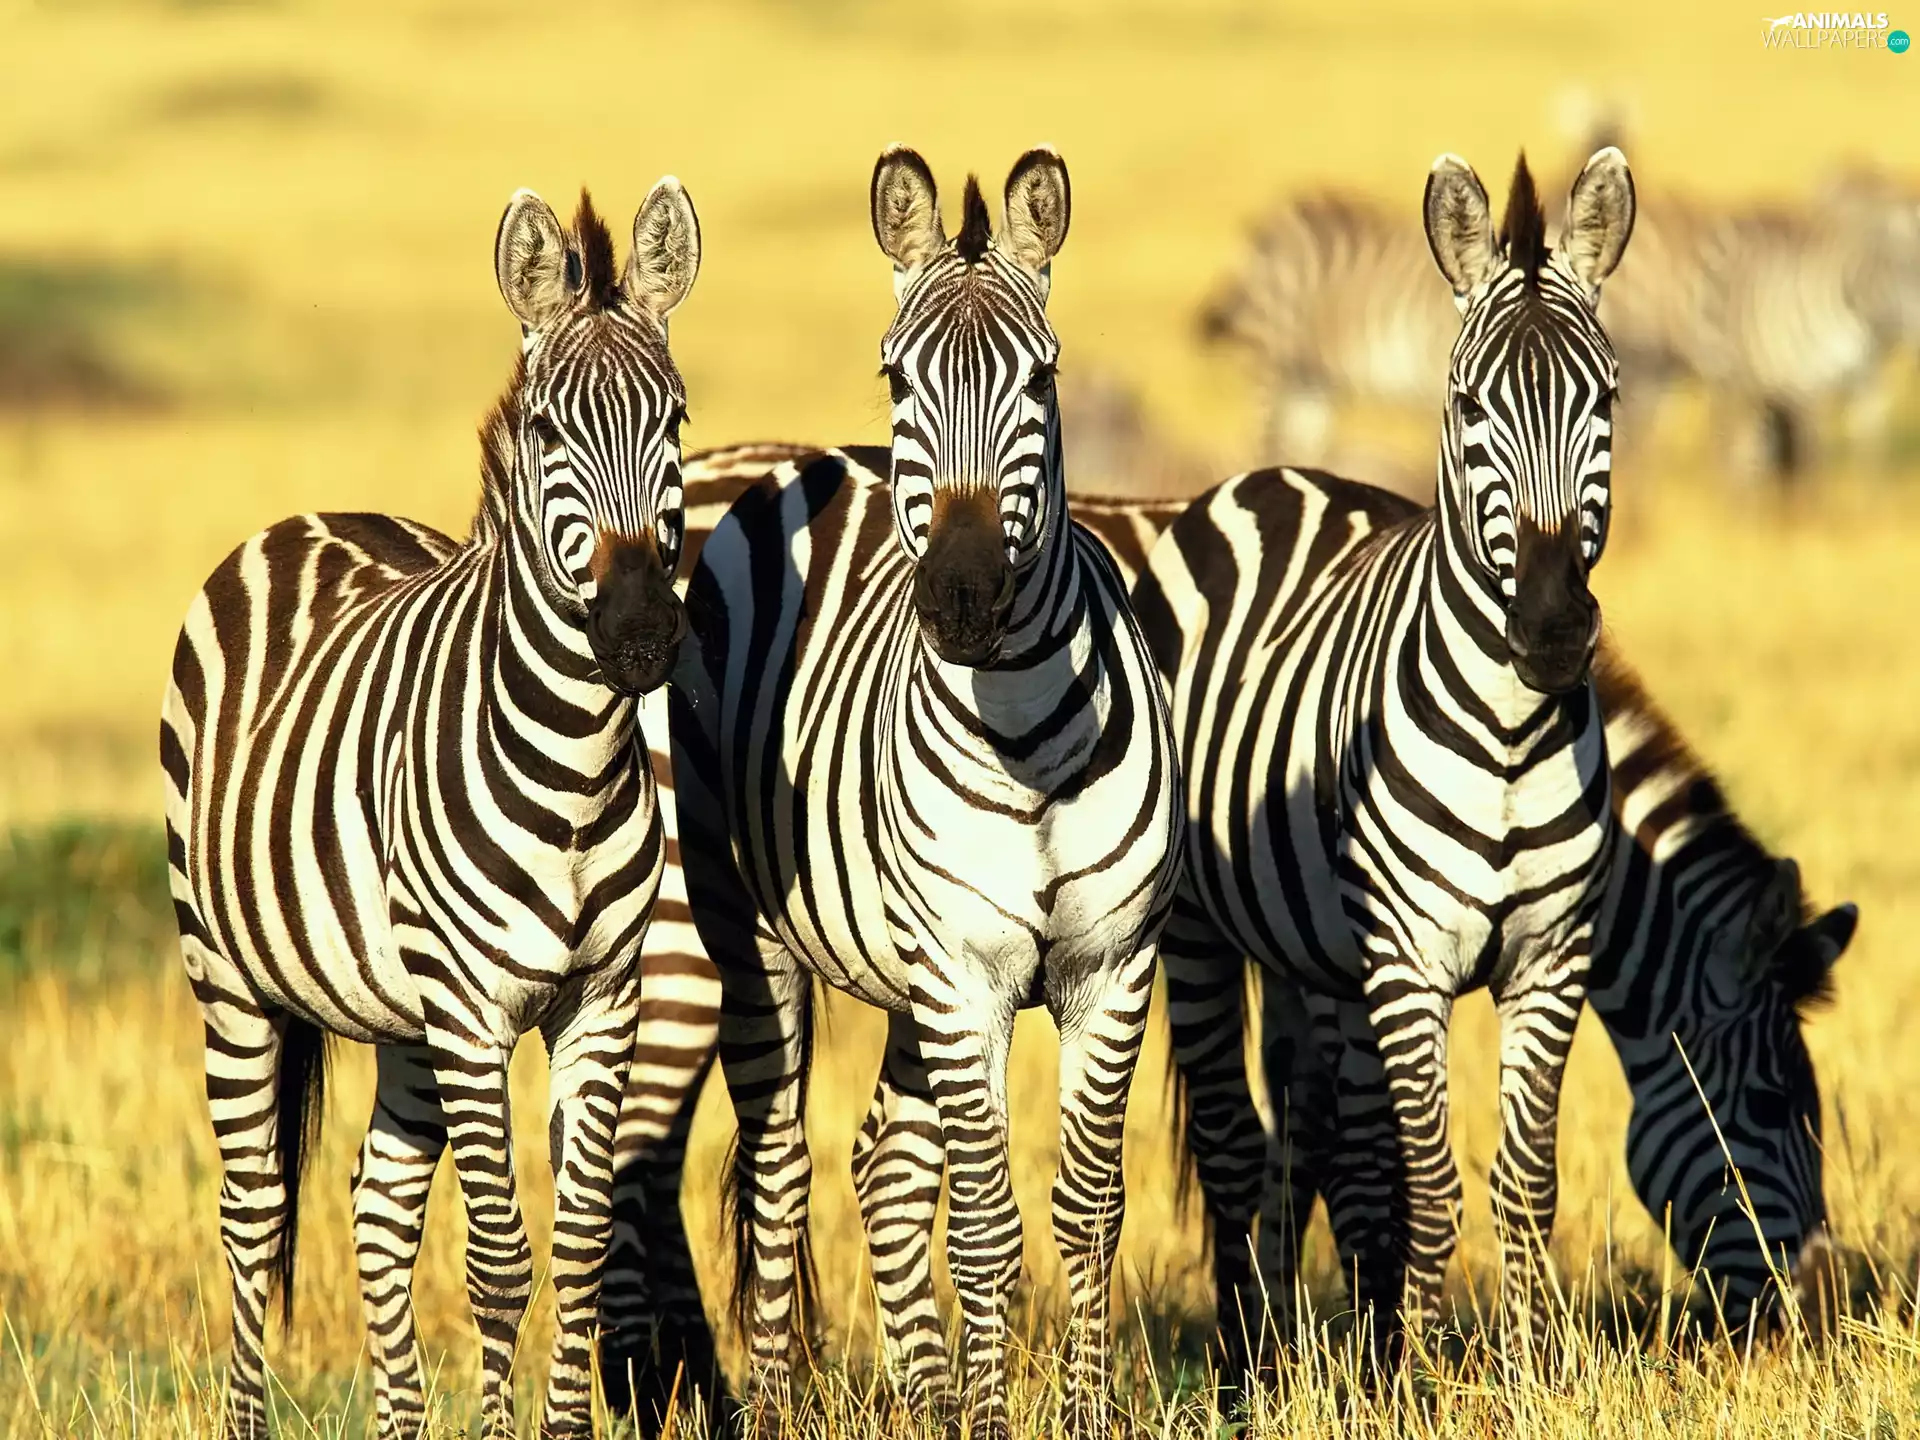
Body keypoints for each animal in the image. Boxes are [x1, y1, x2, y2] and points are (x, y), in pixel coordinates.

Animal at [160, 181, 701, 1439]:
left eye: (677, 421)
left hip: (400, 1013)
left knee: (378, 1204)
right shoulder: (470, 1004)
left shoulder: (602, 996)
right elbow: (501, 1261)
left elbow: (582, 1247)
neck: (575, 769)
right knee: (255, 1212)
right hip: (229, 976)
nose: (640, 636)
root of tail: (306, 519)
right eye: (549, 434)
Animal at [662, 146, 1183, 1439]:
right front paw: (997, 1422)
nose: (961, 597)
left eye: (1043, 379)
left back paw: (928, 1398)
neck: (1028, 738)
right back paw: (781, 1402)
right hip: (752, 934)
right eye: (897, 377)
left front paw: (1081, 1414)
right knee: (782, 1164)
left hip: (905, 969)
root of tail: (761, 463)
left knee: (885, 1163)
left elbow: (1088, 1207)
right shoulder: (965, 973)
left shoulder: (1112, 968)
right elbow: (990, 1224)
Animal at [1131, 147, 1637, 1371]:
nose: (1552, 629)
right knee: (1232, 1142)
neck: (1509, 733)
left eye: (1603, 399)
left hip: (1309, 954)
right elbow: (1431, 1188)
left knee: (1300, 1134)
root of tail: (1268, 475)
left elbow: (1524, 1185)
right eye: (1466, 405)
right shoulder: (1408, 965)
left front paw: (1531, 1369)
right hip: (1199, 932)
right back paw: (1247, 1365)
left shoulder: (1552, 959)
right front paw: (1419, 1375)